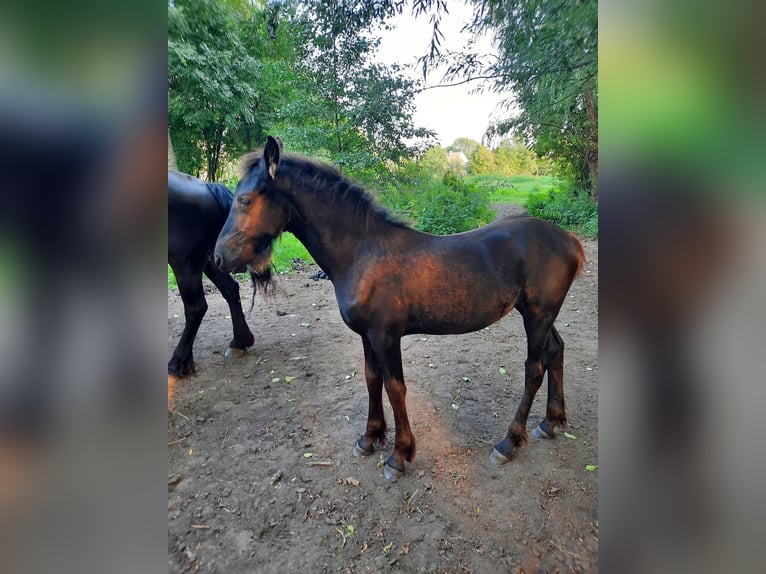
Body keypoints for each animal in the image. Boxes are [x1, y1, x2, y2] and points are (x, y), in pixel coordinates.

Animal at [168, 171, 264, 396]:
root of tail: (206, 186)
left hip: (186, 263)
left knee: (196, 307)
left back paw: (178, 363)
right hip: (214, 258)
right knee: (230, 289)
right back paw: (240, 341)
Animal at [213, 138, 584, 482]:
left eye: (245, 200)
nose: (218, 257)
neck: (362, 253)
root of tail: (568, 240)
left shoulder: (386, 336)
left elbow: (395, 388)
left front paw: (399, 455)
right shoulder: (367, 336)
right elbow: (371, 379)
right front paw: (369, 438)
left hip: (536, 316)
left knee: (534, 369)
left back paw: (509, 442)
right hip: (538, 314)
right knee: (556, 350)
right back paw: (550, 422)